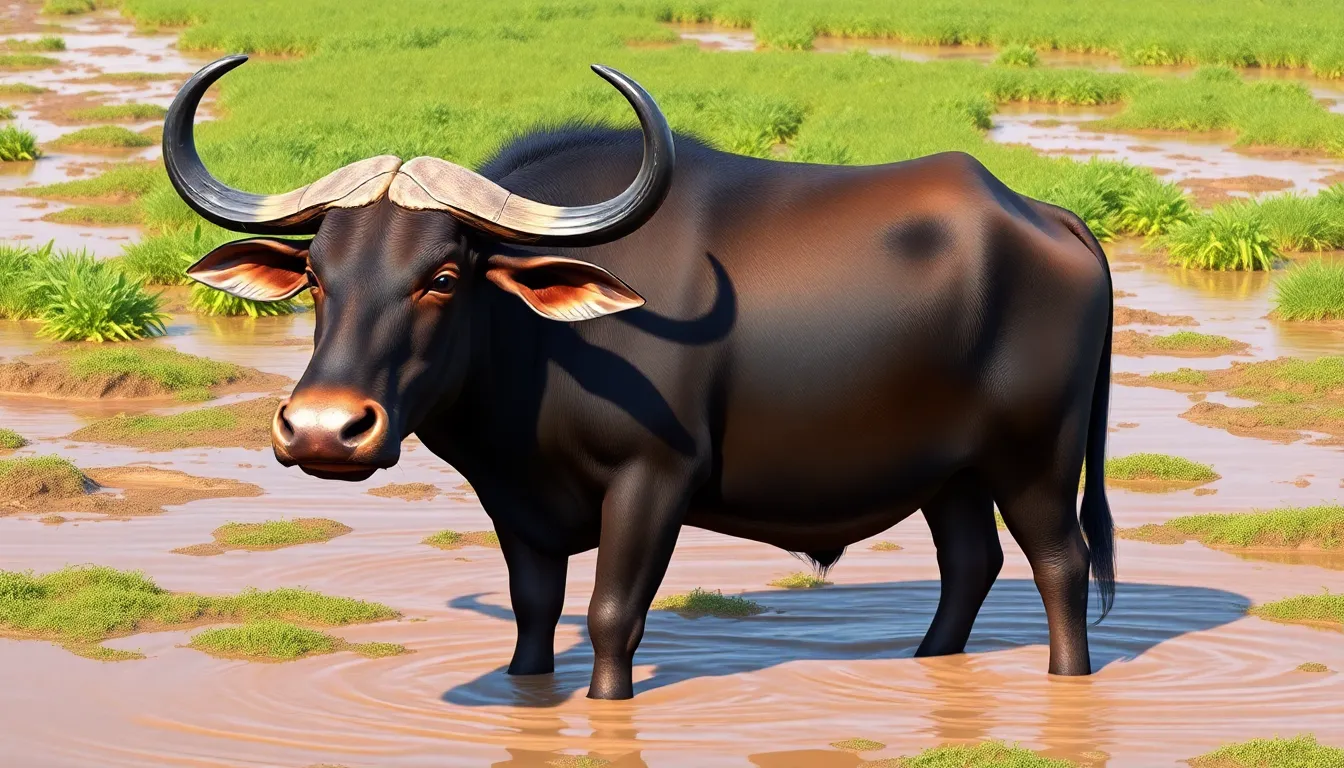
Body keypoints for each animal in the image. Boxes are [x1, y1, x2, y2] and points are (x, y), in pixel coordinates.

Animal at [168, 55, 1115, 700]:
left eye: (441, 276)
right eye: (318, 275)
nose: (324, 430)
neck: (537, 349)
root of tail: (1043, 215)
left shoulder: (653, 479)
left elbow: (611, 615)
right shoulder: (514, 498)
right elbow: (534, 608)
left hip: (1035, 458)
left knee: (1058, 562)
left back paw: (1068, 679)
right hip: (948, 470)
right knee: (970, 560)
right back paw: (927, 661)